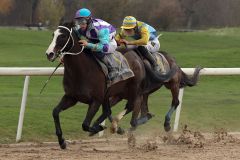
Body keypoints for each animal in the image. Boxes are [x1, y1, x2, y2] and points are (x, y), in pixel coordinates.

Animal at [44, 22, 174, 149]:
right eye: (53, 35)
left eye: (63, 36)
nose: (49, 54)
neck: (82, 70)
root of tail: (137, 56)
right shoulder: (71, 97)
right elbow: (55, 112)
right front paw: (62, 141)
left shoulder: (96, 100)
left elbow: (85, 124)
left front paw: (99, 128)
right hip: (115, 93)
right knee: (111, 110)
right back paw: (118, 127)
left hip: (135, 90)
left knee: (134, 110)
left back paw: (132, 133)